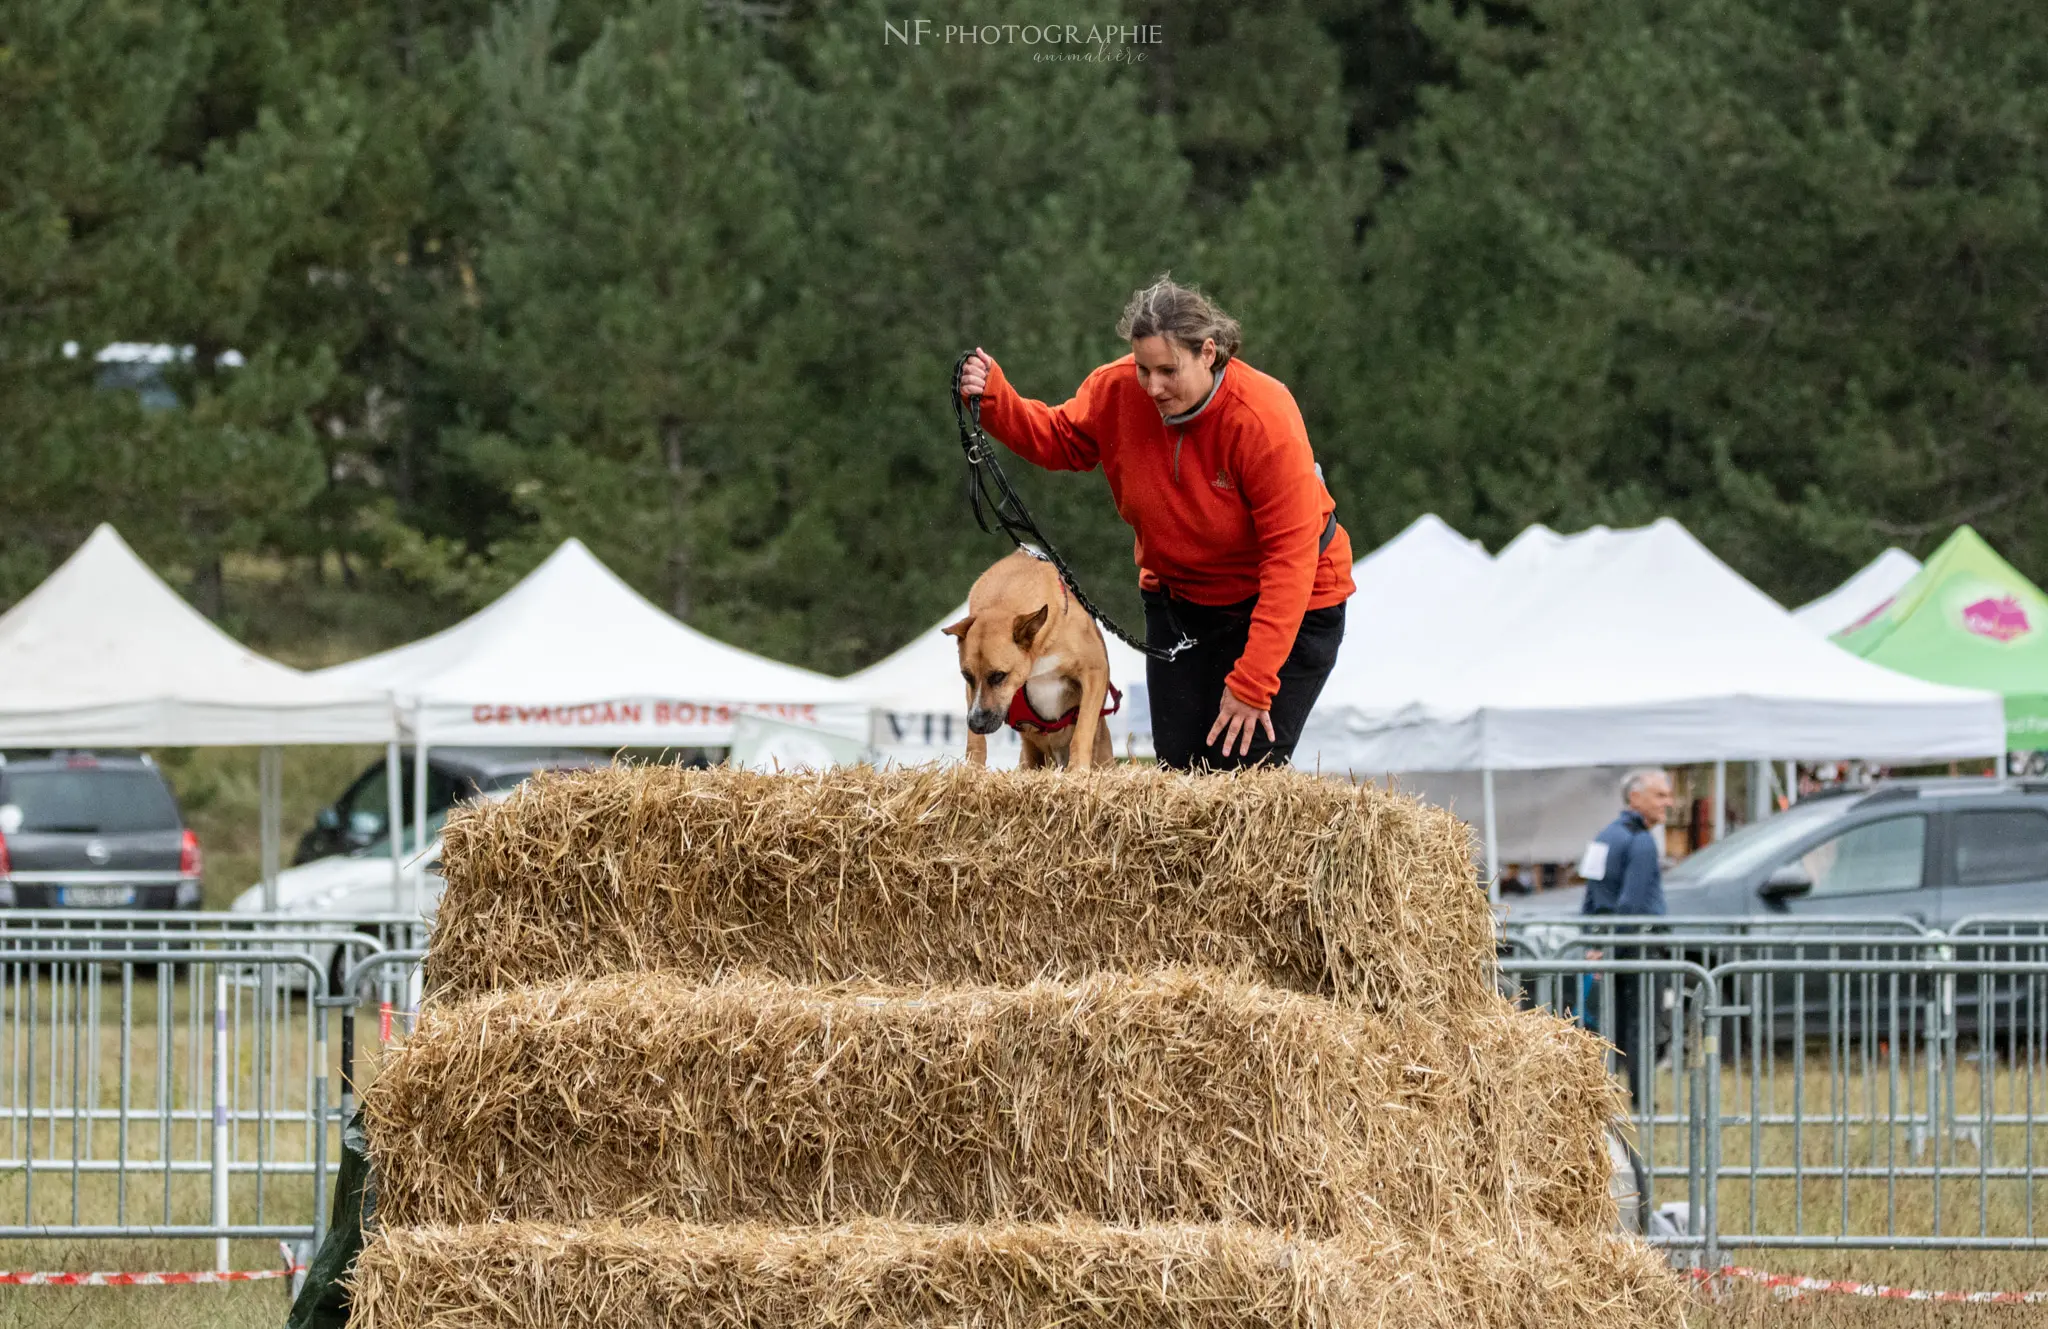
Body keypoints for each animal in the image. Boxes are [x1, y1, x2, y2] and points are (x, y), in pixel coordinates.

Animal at [946, 548, 1122, 774]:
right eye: (966, 676)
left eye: (999, 676)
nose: (976, 724)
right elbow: (975, 742)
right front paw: (973, 769)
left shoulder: (1095, 672)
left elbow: (1082, 728)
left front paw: (1078, 769)